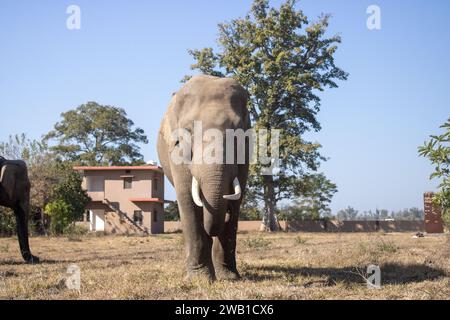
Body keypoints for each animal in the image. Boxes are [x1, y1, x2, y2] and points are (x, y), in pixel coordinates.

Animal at [157, 75, 250, 280]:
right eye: (188, 131)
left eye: (239, 131)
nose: (227, 212)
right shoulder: (177, 152)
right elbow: (188, 201)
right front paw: (200, 279)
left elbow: (237, 199)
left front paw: (229, 278)